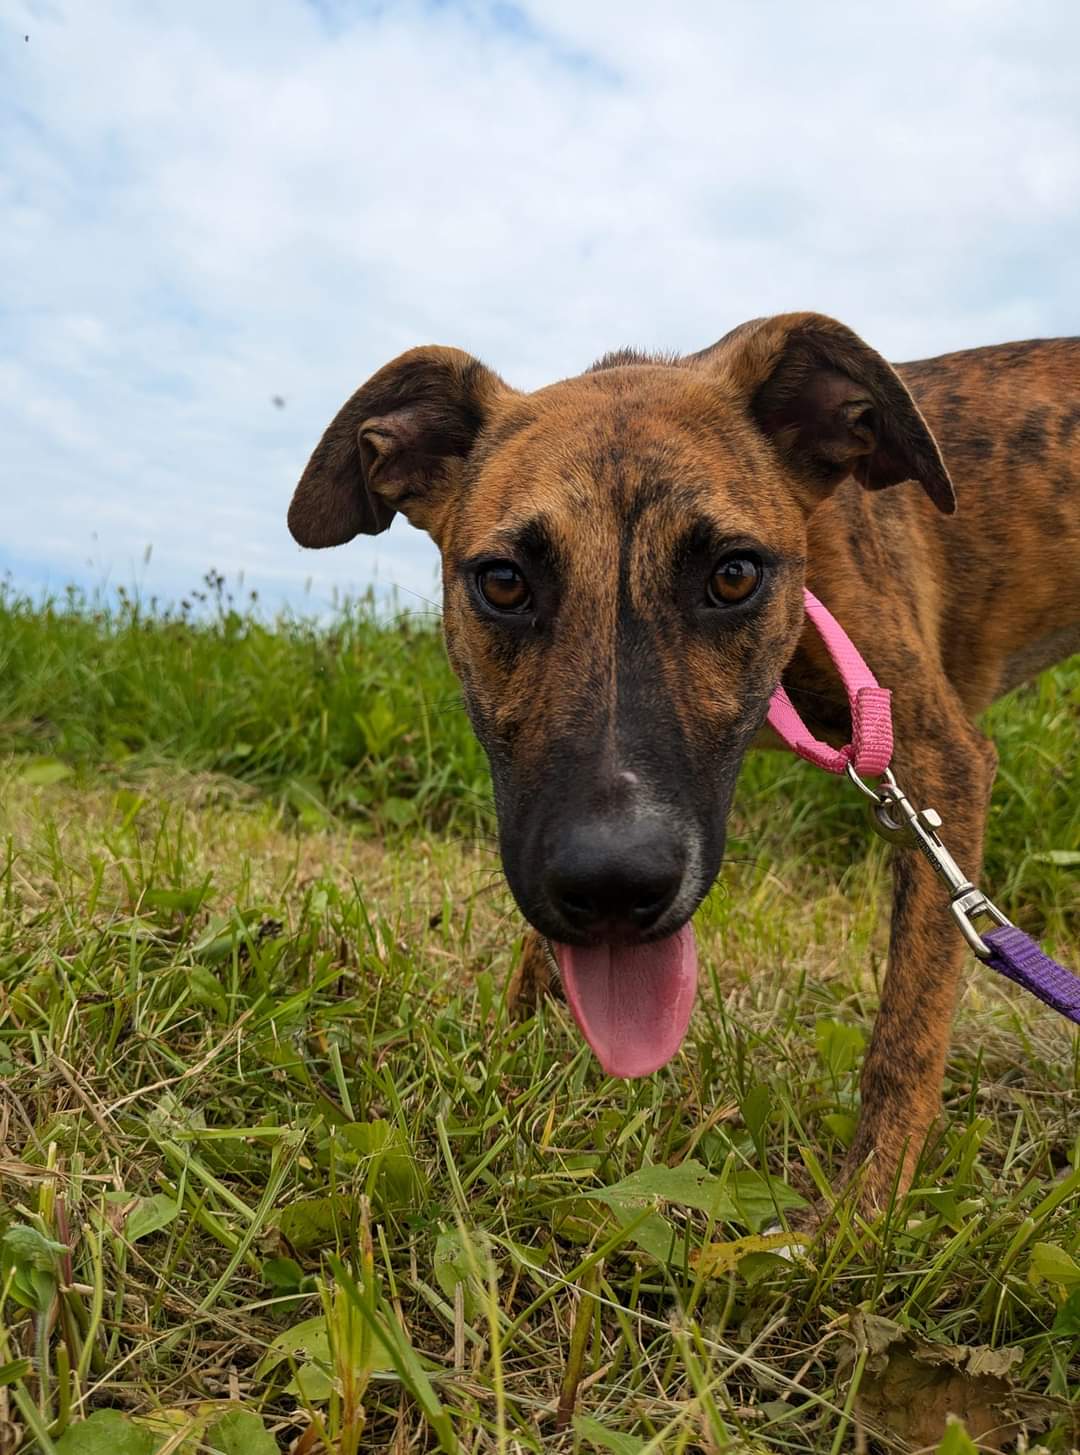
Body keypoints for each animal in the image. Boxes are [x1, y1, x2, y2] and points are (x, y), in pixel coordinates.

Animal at [288, 312, 1080, 1210]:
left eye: (734, 574)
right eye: (504, 581)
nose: (612, 885)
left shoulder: (938, 760)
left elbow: (906, 1034)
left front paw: (860, 1216)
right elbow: (537, 951)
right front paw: (506, 1065)